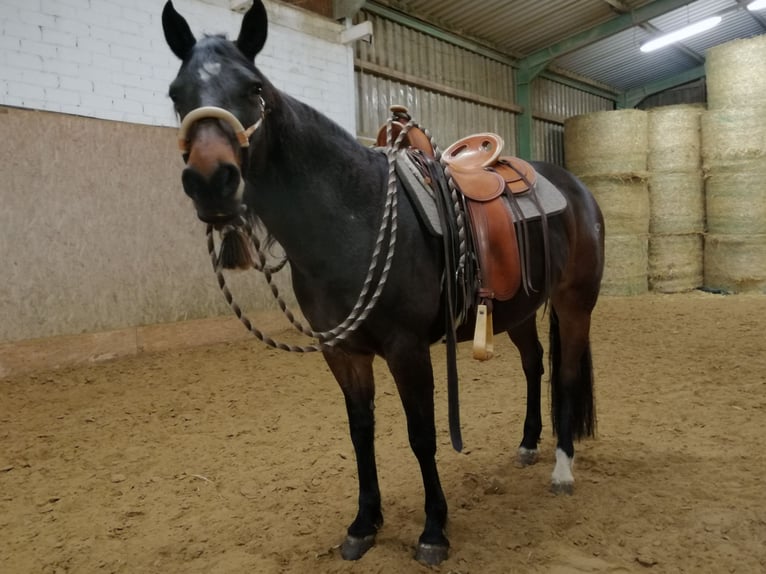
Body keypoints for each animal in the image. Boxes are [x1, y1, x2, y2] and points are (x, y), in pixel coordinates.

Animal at [160, 0, 608, 568]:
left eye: (253, 87)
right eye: (176, 94)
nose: (210, 181)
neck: (355, 216)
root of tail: (577, 190)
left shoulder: (406, 348)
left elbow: (421, 435)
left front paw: (434, 531)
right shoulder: (343, 352)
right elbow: (361, 433)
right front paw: (363, 523)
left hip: (574, 305)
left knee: (566, 375)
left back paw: (562, 468)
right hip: (517, 309)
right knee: (535, 365)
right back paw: (529, 444)